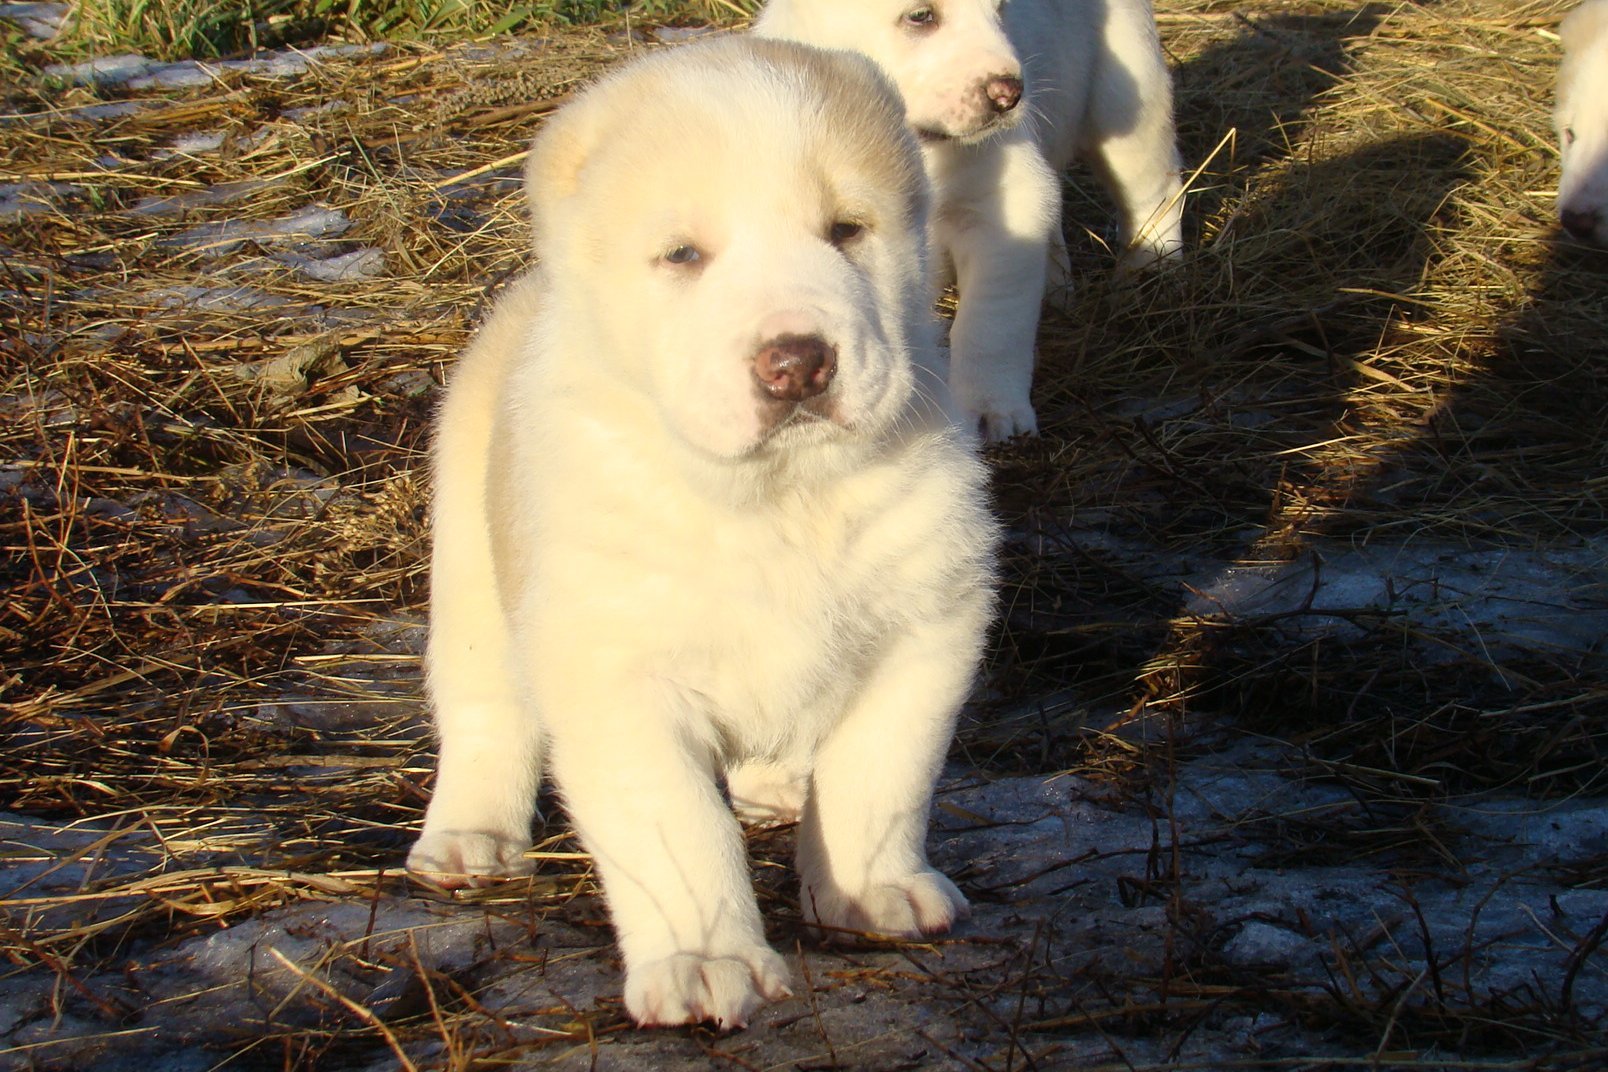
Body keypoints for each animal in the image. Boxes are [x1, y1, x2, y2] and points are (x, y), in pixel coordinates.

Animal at [408, 37, 996, 1035]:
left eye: (847, 230)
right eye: (683, 255)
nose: (797, 361)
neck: (775, 501)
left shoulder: (928, 624)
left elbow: (881, 775)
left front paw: (870, 891)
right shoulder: (618, 673)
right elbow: (678, 831)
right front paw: (707, 961)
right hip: (471, 581)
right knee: (484, 716)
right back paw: (467, 837)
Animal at [749, 0, 1183, 440]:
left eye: (1001, 8)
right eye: (920, 16)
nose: (1010, 93)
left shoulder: (1003, 209)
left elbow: (990, 324)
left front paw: (991, 408)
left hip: (1126, 105)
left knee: (1155, 192)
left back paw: (1152, 275)